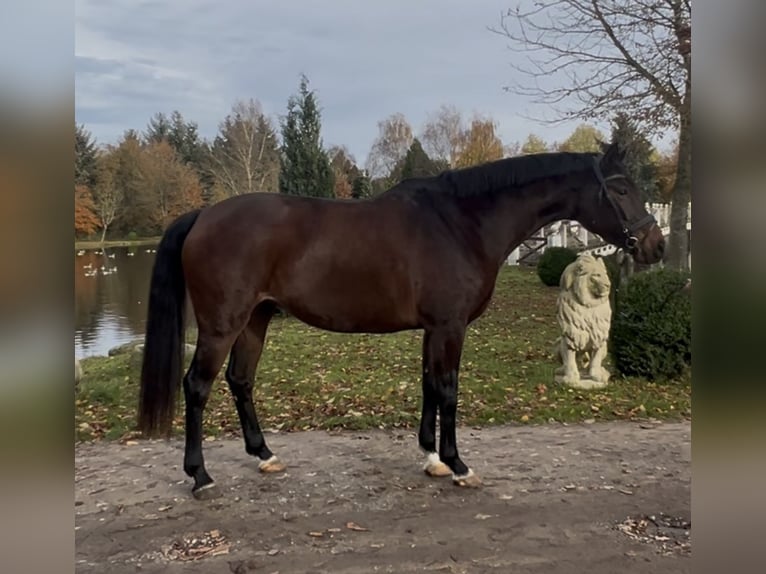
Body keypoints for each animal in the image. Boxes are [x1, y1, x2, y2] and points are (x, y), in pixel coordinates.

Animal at [137, 141, 665, 500]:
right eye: (620, 188)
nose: (654, 247)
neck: (460, 223)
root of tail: (204, 215)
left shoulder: (434, 329)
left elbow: (430, 384)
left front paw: (432, 458)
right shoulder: (450, 326)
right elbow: (448, 389)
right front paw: (458, 464)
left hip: (256, 319)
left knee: (240, 380)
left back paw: (264, 456)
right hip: (221, 326)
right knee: (197, 387)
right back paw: (200, 476)